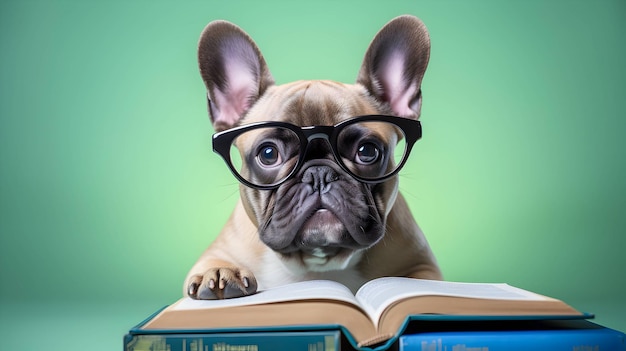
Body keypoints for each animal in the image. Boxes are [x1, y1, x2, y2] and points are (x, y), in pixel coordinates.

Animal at [183, 14, 442, 300]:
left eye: (367, 151)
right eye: (269, 154)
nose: (318, 173)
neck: (317, 264)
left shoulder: (423, 264)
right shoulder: (218, 251)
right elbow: (212, 263)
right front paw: (219, 273)